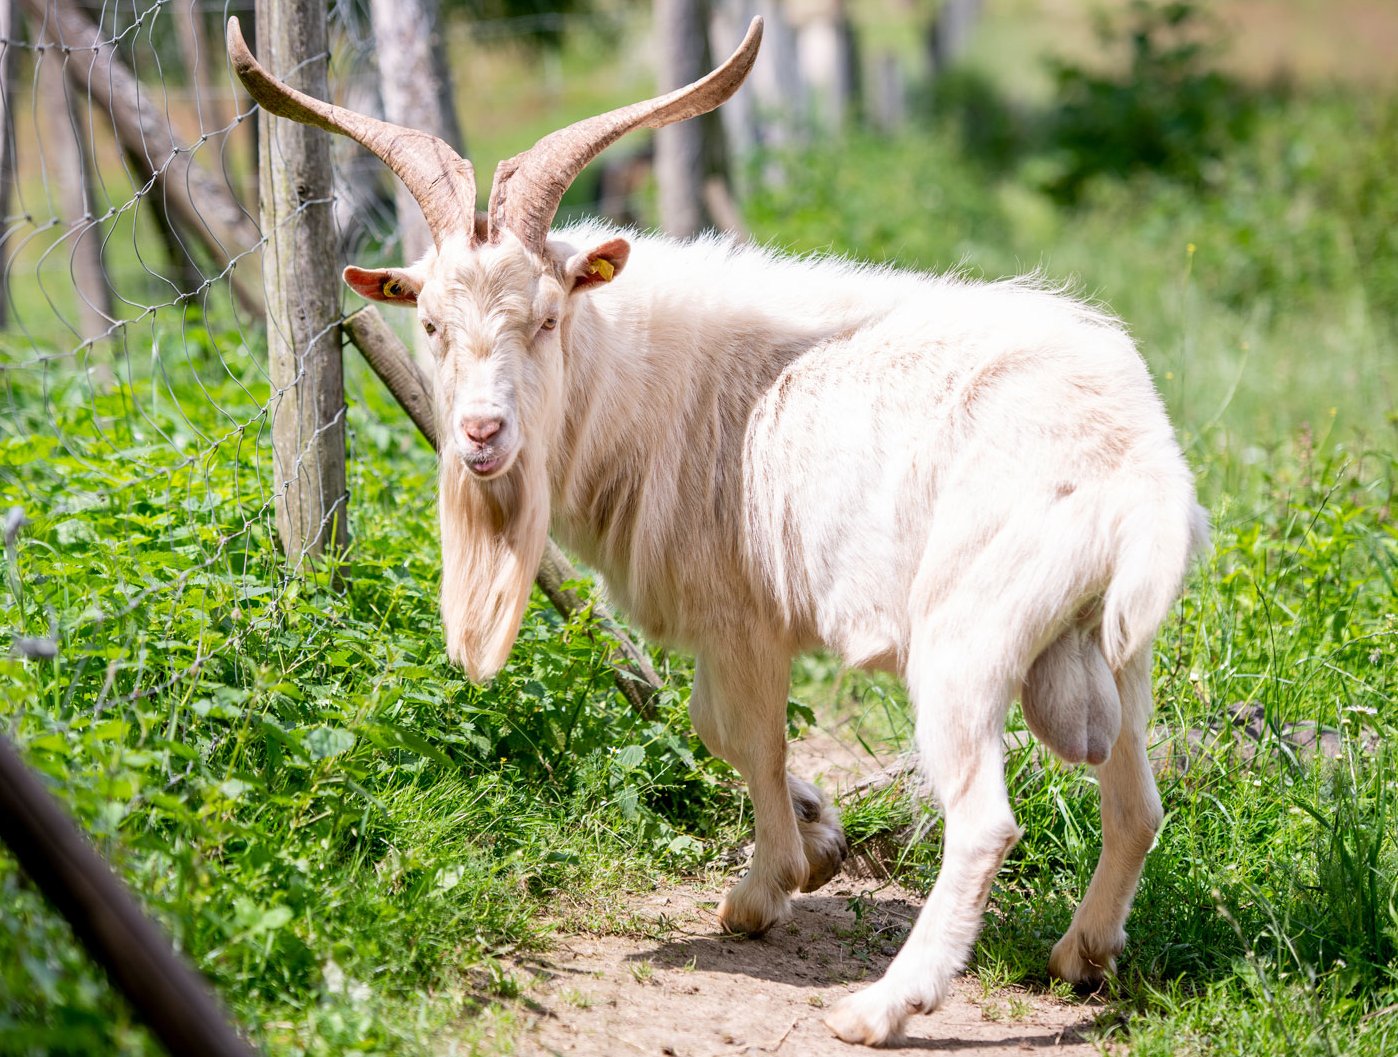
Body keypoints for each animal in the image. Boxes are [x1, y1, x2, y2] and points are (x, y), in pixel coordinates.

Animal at [228, 17, 1208, 1046]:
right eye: (428, 324)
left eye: (547, 316)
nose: (482, 434)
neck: (647, 379)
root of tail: (1138, 464)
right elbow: (727, 732)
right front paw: (817, 834)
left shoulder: (742, 618)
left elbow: (740, 735)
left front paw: (766, 886)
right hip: (1115, 649)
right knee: (1137, 803)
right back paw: (1081, 956)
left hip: (966, 638)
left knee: (984, 821)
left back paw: (881, 1006)